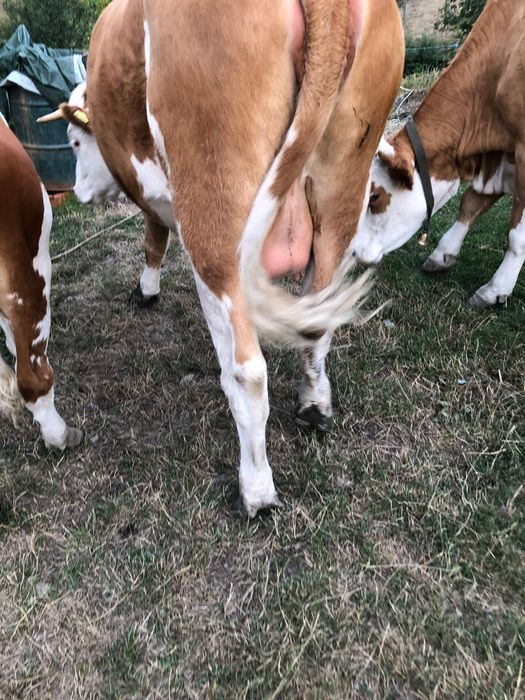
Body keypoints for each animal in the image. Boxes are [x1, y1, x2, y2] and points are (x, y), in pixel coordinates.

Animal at [40, 0, 404, 515]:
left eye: (74, 142)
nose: (80, 193)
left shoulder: (161, 195)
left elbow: (153, 239)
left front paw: (146, 291)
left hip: (215, 206)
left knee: (248, 371)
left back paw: (257, 489)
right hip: (340, 193)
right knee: (317, 322)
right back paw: (314, 406)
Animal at [351, 0, 525, 307]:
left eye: (374, 196)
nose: (349, 252)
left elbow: (517, 235)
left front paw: (495, 289)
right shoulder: (499, 158)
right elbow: (470, 203)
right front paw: (443, 254)